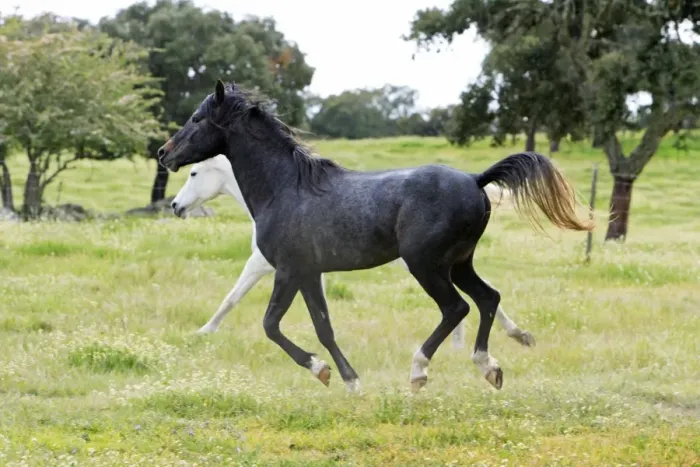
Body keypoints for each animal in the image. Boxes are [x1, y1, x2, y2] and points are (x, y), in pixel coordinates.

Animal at [171, 154, 536, 353]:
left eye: (193, 173)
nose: (175, 205)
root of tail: (474, 180)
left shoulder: (263, 265)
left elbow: (231, 298)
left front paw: (203, 332)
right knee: (475, 298)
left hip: (426, 263)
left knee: (464, 302)